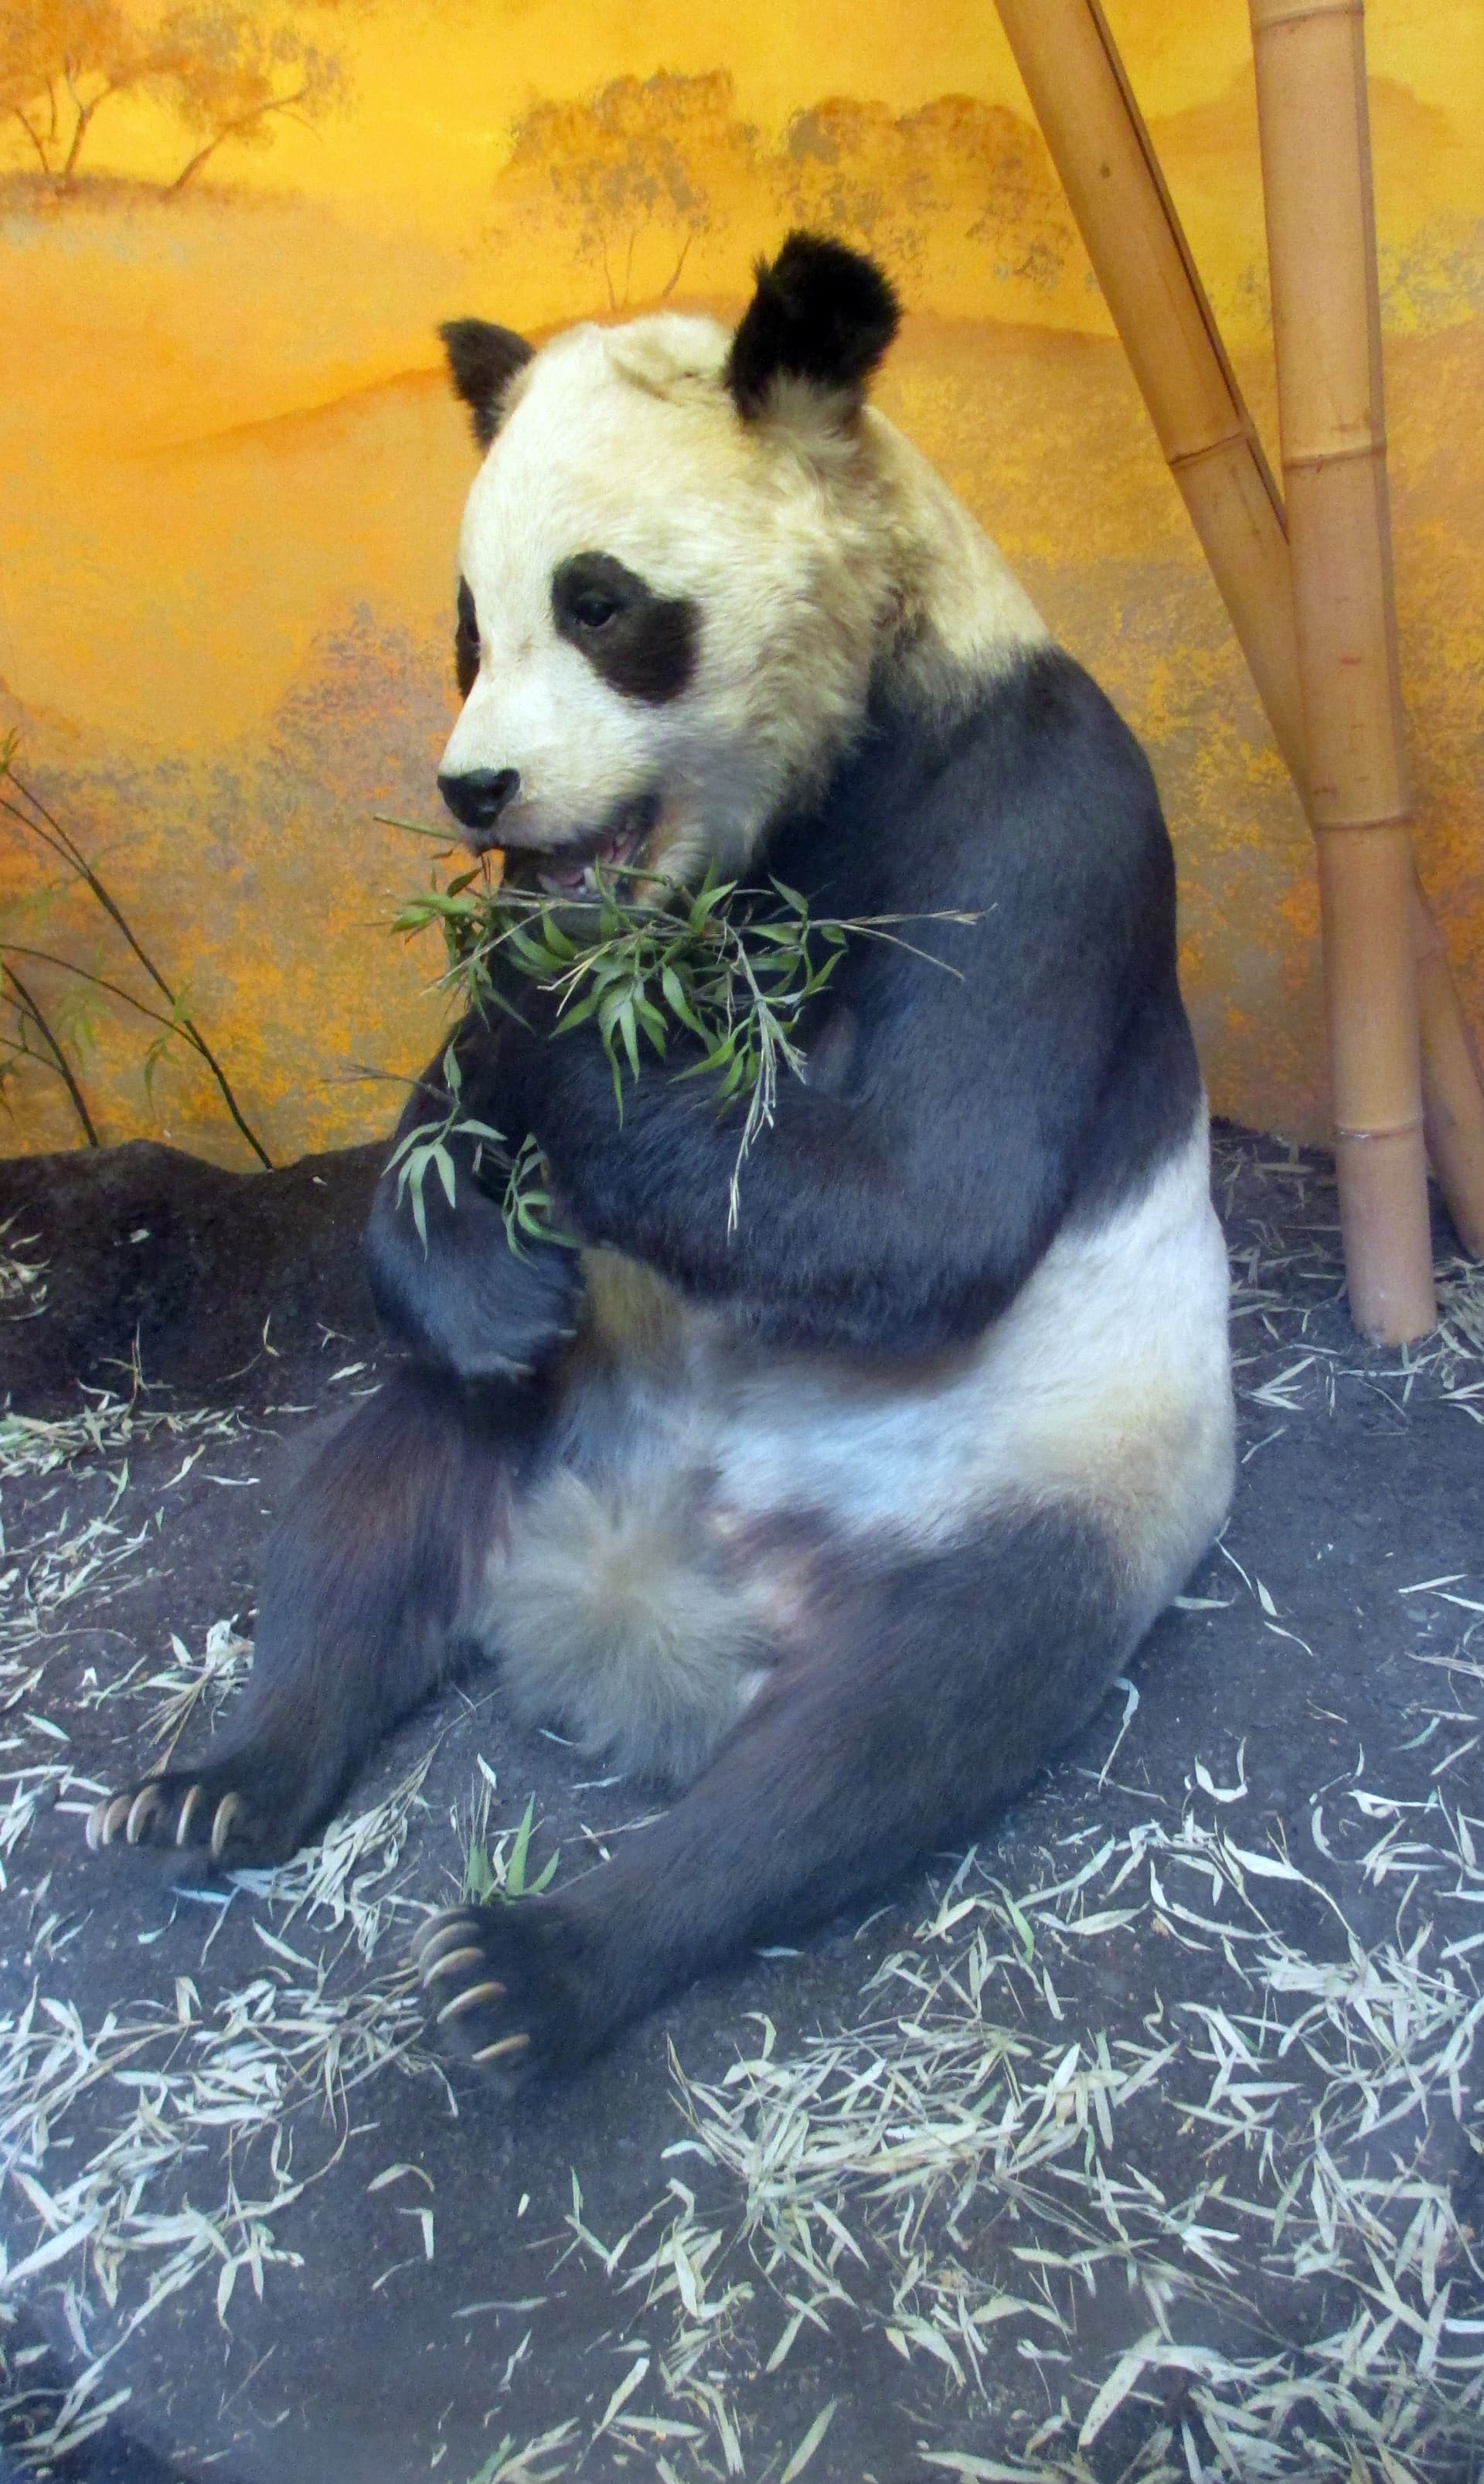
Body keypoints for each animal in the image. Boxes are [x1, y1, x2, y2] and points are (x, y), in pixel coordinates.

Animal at [89, 235, 1235, 2082]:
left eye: (603, 606)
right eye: (465, 625)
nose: (478, 788)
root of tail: (654, 1574)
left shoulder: (1027, 807)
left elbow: (927, 1194)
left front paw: (566, 1014)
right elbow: (447, 1128)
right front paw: (498, 1247)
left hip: (1046, 1471)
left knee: (897, 1721)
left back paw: (529, 1968)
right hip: (549, 1408)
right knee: (361, 1512)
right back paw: (220, 1783)